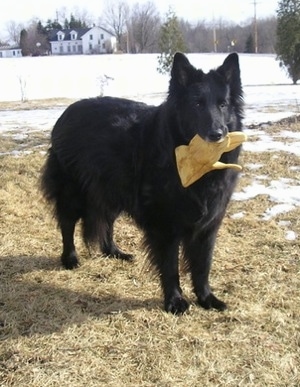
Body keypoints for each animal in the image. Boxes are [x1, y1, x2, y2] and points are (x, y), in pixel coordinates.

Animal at [41, 53, 244, 316]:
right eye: (197, 104)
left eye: (223, 104)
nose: (217, 134)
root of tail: (66, 113)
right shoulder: (165, 227)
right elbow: (170, 266)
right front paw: (175, 301)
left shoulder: (208, 227)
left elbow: (203, 266)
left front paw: (207, 298)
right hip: (73, 193)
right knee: (67, 224)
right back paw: (70, 258)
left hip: (112, 193)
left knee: (106, 223)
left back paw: (114, 252)